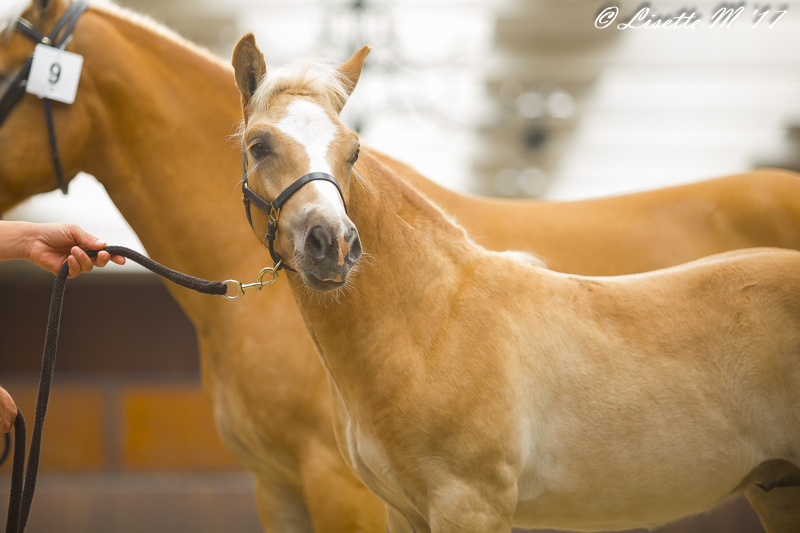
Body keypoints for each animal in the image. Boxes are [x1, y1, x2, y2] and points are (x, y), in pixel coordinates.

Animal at [233, 36, 800, 532]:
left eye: (352, 150)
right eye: (259, 145)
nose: (333, 244)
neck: (430, 321)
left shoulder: (470, 504)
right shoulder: (403, 511)